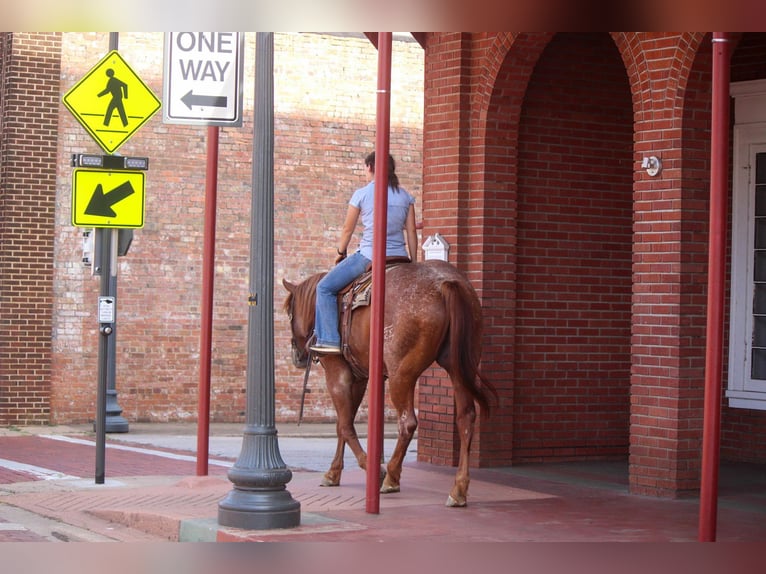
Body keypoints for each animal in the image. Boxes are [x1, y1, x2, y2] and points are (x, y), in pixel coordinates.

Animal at [282, 258, 498, 506]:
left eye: (289, 313)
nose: (296, 355)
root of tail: (446, 283)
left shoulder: (338, 374)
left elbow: (345, 425)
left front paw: (373, 470)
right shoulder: (359, 378)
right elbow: (343, 423)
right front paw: (333, 473)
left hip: (401, 375)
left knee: (408, 422)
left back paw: (392, 476)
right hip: (459, 368)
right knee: (465, 417)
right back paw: (459, 489)